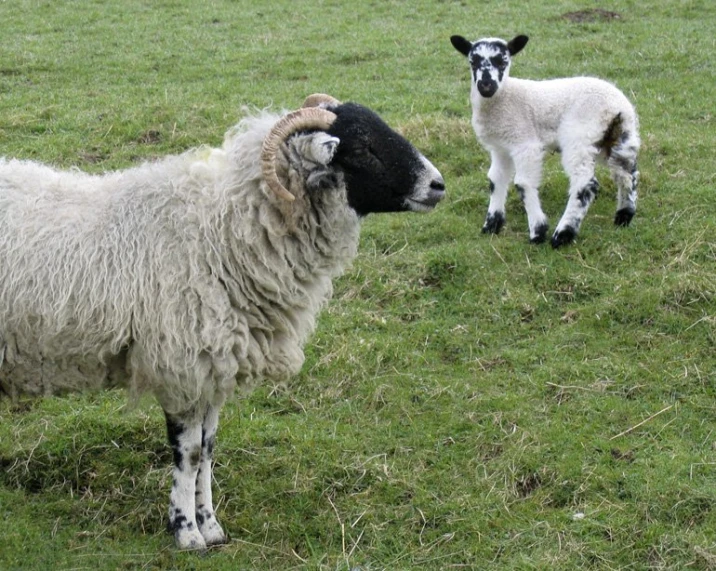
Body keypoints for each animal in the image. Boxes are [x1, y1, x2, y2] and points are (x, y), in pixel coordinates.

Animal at [0, 94, 444, 548]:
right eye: (362, 148)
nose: (438, 185)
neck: (222, 230)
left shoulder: (213, 365)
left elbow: (209, 449)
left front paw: (210, 525)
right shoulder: (181, 364)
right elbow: (190, 453)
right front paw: (186, 532)